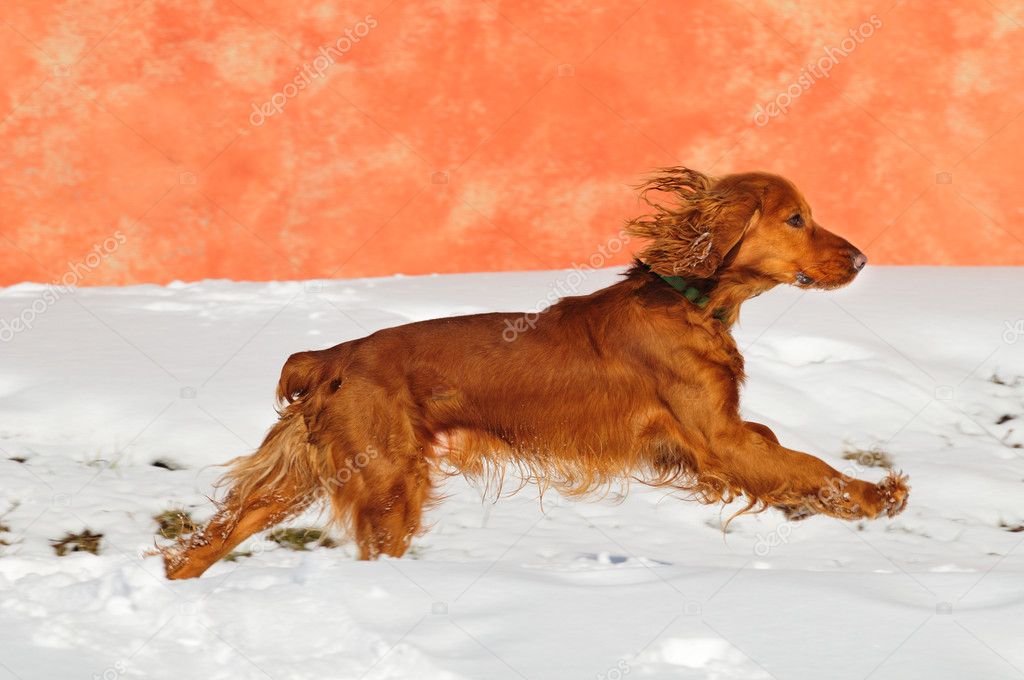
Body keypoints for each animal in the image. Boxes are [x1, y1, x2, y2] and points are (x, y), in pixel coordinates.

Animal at [163, 166, 909, 577]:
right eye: (796, 218)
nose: (863, 258)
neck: (688, 299)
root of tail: (332, 356)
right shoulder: (721, 439)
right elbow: (809, 466)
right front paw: (877, 495)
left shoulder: (706, 442)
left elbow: (794, 468)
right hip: (388, 484)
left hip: (308, 474)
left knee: (212, 536)